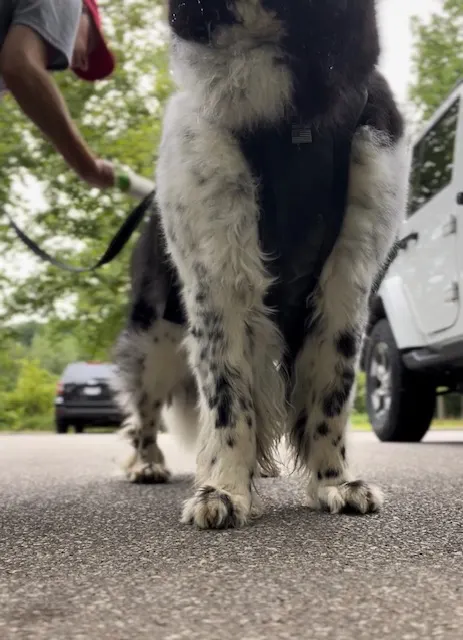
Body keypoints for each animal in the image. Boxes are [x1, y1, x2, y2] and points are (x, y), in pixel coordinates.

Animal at [114, 0, 408, 528]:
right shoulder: (217, 277)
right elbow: (227, 391)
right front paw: (223, 489)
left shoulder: (349, 277)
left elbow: (332, 388)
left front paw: (336, 482)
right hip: (155, 336)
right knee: (145, 409)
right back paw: (147, 463)